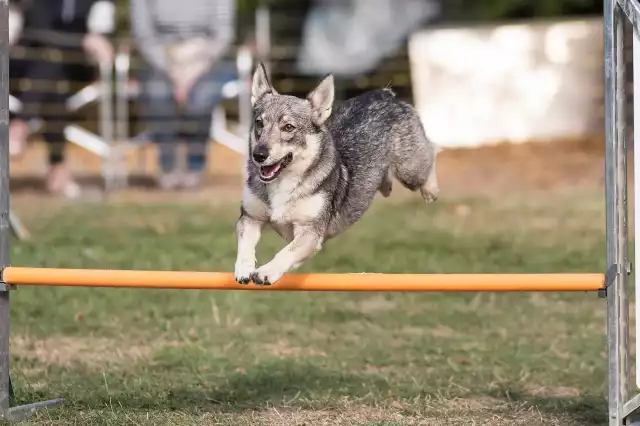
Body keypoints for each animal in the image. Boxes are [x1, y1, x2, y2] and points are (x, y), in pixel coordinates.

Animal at [235, 65, 440, 284]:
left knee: (431, 151)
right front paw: (243, 269)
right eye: (259, 123)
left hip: (411, 172)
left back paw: (431, 190)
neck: (283, 184)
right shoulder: (250, 218)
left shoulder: (310, 232)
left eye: (288, 127)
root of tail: (384, 94)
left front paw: (266, 271)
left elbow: (285, 253)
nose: (259, 155)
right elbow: (245, 246)